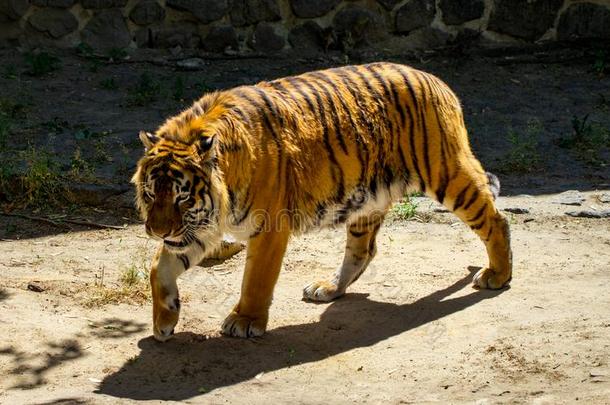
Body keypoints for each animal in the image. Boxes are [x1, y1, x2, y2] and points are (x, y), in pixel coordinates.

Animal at [131, 62, 510, 340]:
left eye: (181, 197)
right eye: (151, 193)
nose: (157, 231)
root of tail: (437, 81)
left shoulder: (267, 228)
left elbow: (255, 279)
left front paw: (244, 321)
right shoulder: (199, 228)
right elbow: (159, 267)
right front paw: (164, 320)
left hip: (447, 172)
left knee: (495, 219)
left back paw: (497, 275)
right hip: (367, 201)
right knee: (363, 250)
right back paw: (328, 288)